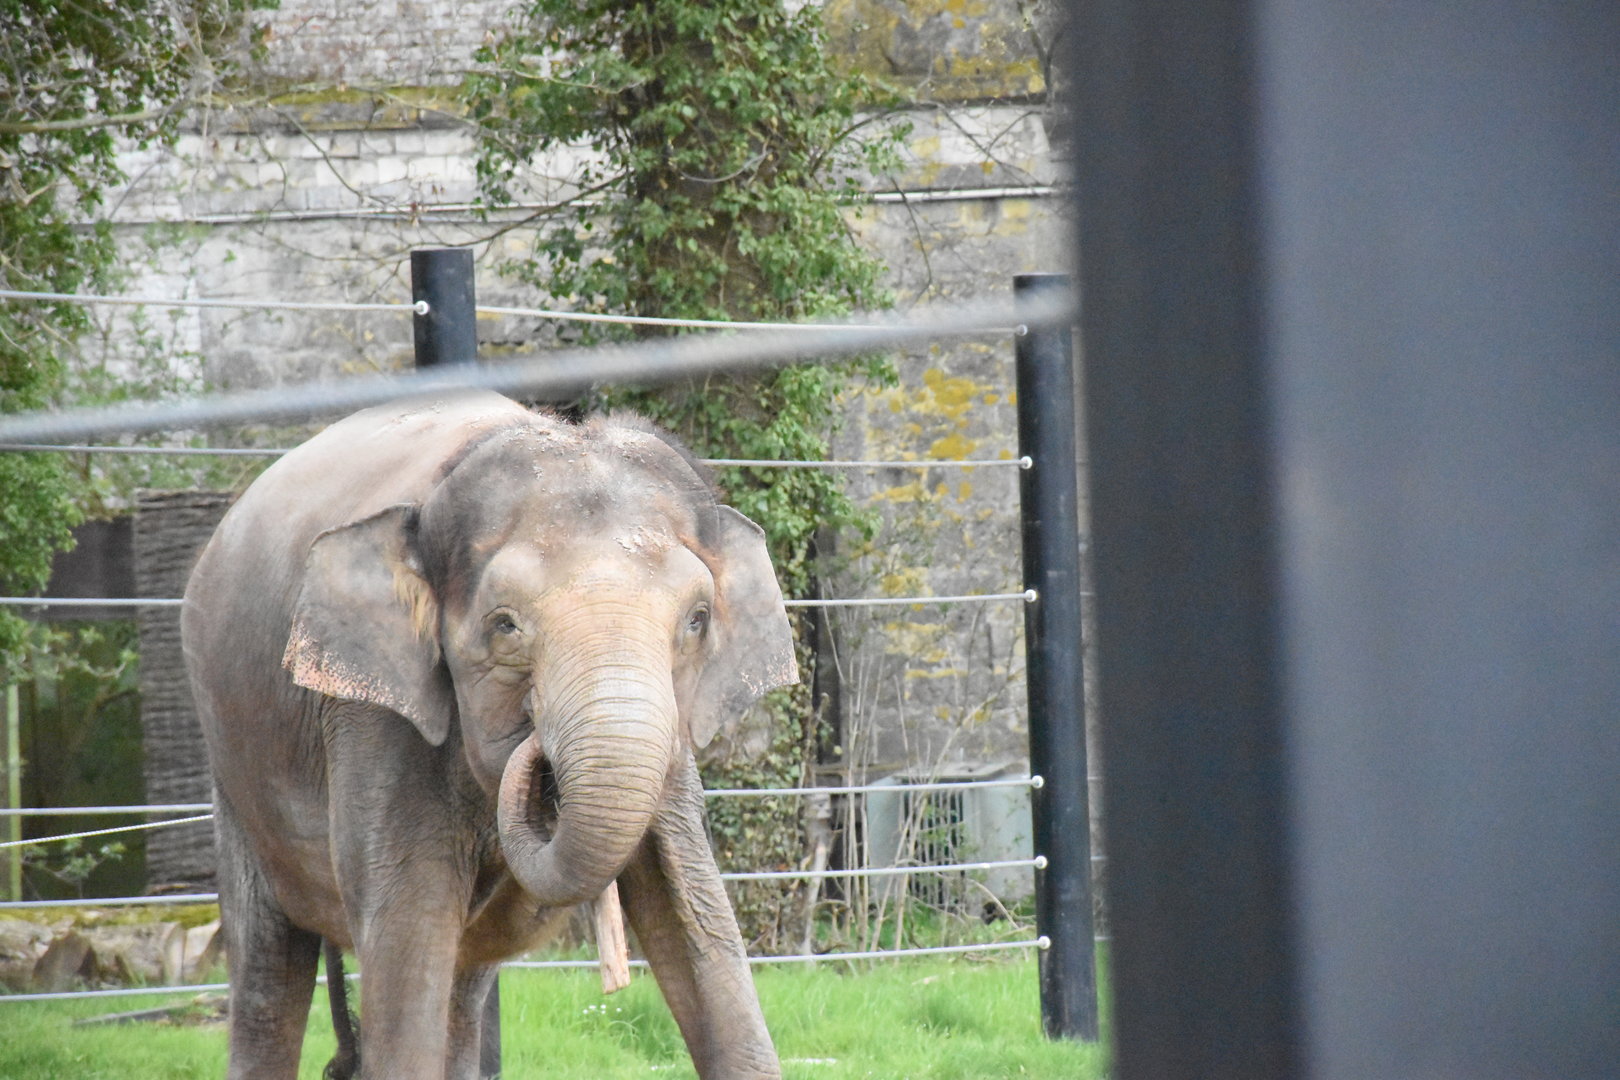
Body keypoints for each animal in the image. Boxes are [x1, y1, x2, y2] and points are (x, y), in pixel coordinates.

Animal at [181, 391, 798, 1080]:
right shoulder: (373, 720)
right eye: (505, 625)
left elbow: (691, 905)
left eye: (696, 620)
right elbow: (409, 929)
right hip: (232, 765)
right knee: (268, 968)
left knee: (464, 981)